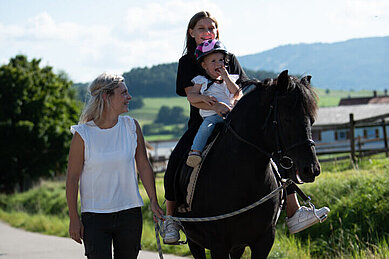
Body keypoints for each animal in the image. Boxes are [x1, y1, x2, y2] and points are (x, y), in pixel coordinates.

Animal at [174, 70, 320, 258]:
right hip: (195, 241)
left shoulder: (264, 240)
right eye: (287, 119)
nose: (311, 169)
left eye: (312, 120)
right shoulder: (218, 244)